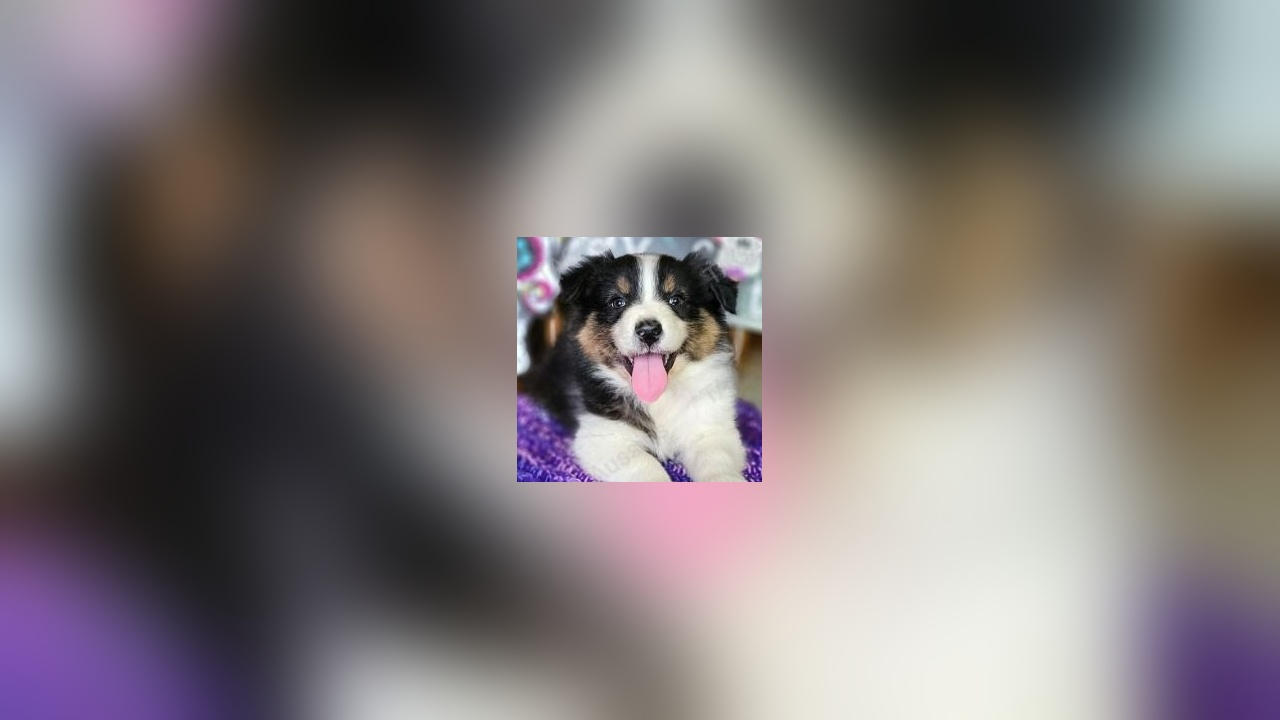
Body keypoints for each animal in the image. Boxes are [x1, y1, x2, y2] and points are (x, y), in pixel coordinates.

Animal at [526, 251, 747, 482]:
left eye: (676, 300)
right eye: (617, 302)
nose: (649, 331)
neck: (658, 398)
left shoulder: (713, 429)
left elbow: (718, 461)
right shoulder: (602, 437)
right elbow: (646, 466)